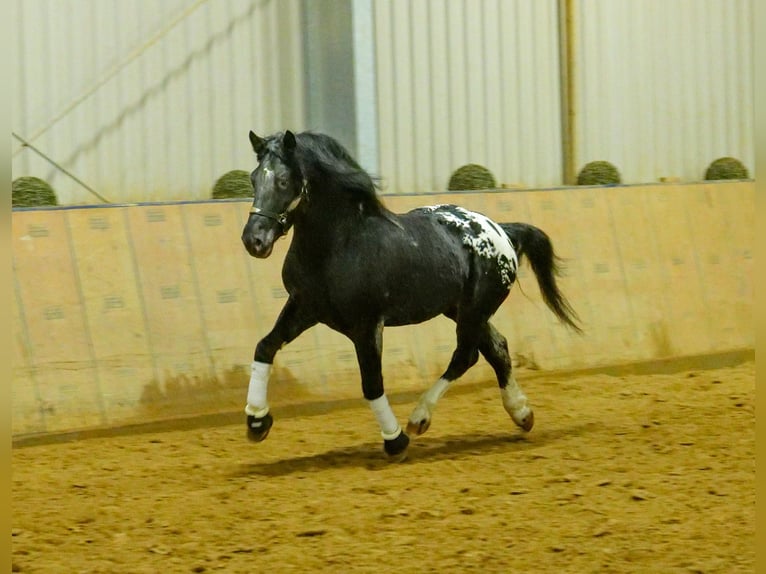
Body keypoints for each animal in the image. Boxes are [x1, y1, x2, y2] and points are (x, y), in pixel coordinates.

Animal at [242, 130, 584, 464]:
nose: (254, 240)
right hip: (461, 310)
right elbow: (265, 346)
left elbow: (372, 383)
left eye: (283, 180)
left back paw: (420, 418)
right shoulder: (304, 307)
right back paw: (522, 413)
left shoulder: (367, 324)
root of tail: (502, 231)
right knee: (496, 348)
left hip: (475, 310)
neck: (338, 245)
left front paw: (395, 441)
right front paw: (257, 421)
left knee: (466, 355)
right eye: (254, 178)